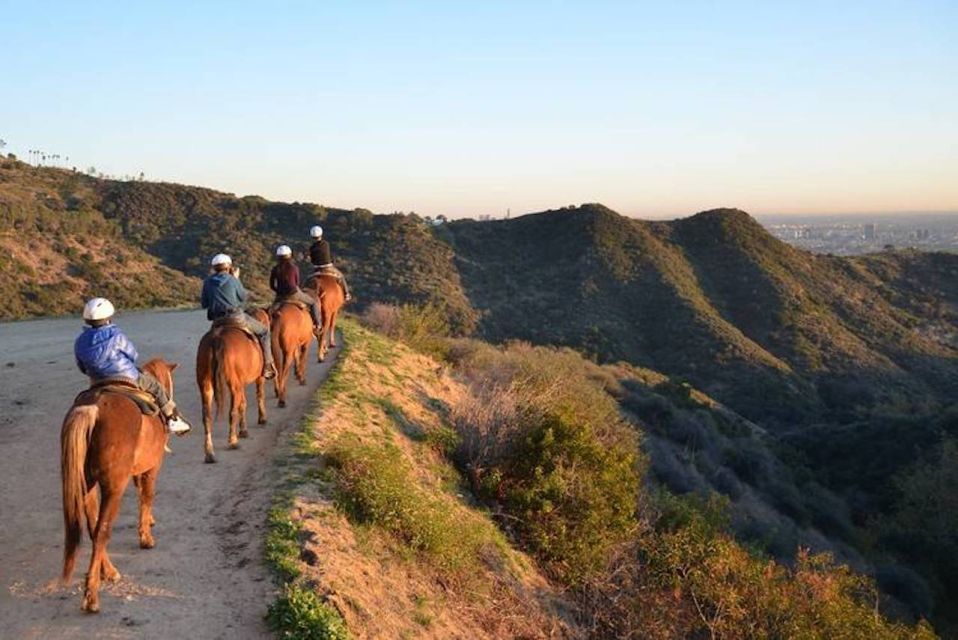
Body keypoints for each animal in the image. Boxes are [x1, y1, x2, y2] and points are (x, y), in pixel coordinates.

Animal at [60, 358, 180, 612]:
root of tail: (93, 409)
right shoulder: (152, 467)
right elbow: (147, 495)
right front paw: (146, 537)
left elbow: (141, 493)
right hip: (113, 487)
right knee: (102, 530)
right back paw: (92, 595)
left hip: (86, 486)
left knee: (94, 526)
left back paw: (108, 572)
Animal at [195, 308, 270, 462]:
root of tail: (216, 339)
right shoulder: (257, 379)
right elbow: (259, 395)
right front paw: (261, 419)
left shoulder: (241, 384)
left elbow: (243, 403)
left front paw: (244, 429)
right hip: (233, 385)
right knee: (232, 411)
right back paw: (233, 441)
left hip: (206, 385)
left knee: (207, 416)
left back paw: (209, 452)